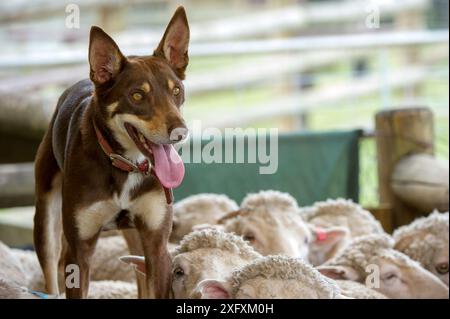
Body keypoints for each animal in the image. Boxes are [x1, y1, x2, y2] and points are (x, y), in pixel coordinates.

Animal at [33, 6, 190, 298]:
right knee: (49, 267)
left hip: (135, 234)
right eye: (137, 95)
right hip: (46, 218)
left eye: (176, 91)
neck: (126, 164)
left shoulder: (156, 244)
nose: (180, 132)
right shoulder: (79, 250)